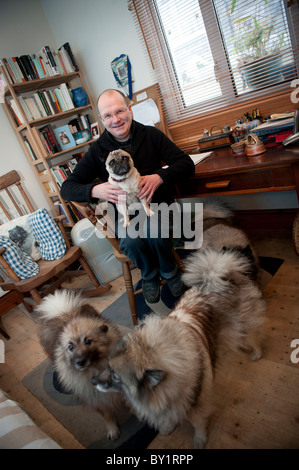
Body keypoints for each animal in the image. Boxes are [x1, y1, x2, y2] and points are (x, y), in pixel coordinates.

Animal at [36, 290, 123, 440]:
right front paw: (112, 428)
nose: (80, 362)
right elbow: (106, 414)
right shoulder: (93, 397)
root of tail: (62, 311)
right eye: (70, 347)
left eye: (88, 341)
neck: (95, 368)